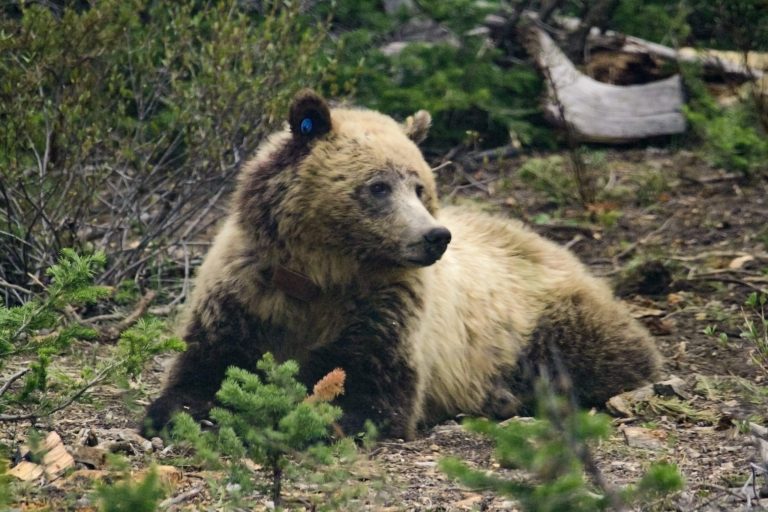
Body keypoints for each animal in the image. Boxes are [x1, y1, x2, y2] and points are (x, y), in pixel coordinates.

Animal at [142, 89, 662, 440]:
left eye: (419, 186)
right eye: (378, 186)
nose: (435, 236)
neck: (321, 273)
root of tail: (549, 243)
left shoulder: (385, 309)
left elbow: (372, 389)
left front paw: (325, 414)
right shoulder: (247, 292)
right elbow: (207, 364)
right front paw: (176, 410)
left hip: (540, 317)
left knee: (602, 353)